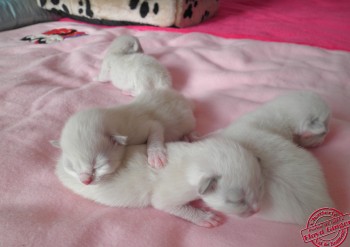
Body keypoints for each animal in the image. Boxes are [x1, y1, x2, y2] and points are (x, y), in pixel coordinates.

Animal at [51, 89, 196, 185]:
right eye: (72, 168)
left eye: (98, 166)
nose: (85, 181)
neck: (115, 118)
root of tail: (179, 96)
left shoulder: (143, 126)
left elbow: (155, 130)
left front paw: (156, 156)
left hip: (188, 120)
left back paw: (189, 136)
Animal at [54, 136, 262, 229]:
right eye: (237, 200)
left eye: (258, 186)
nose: (257, 210)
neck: (193, 159)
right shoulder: (170, 194)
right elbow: (166, 205)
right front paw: (205, 217)